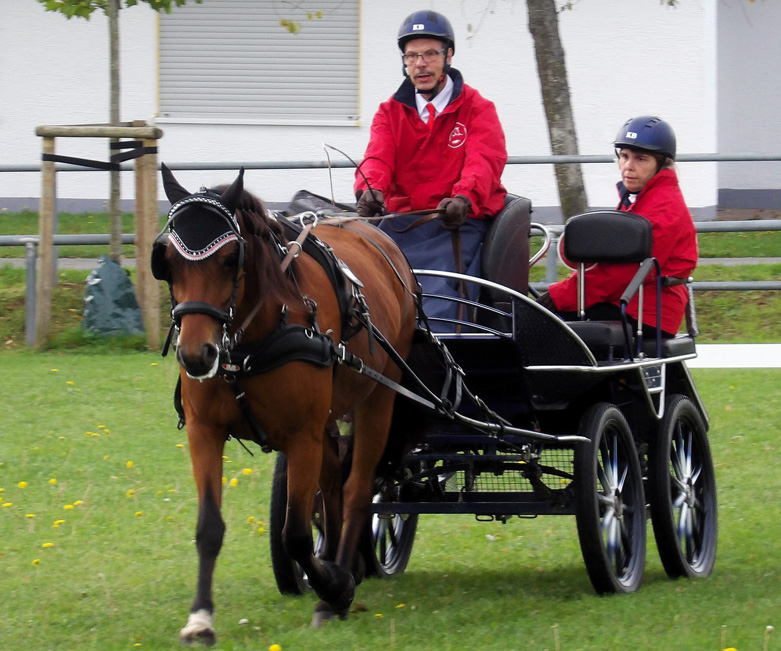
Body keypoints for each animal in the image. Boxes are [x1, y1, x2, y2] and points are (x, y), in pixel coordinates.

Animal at [151, 165, 419, 644]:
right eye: (167, 261)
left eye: (229, 259)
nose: (196, 354)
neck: (250, 338)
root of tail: (379, 235)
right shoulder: (205, 431)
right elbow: (209, 527)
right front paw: (200, 617)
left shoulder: (301, 436)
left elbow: (294, 532)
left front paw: (335, 590)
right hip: (329, 417)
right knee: (332, 486)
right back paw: (339, 564)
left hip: (378, 399)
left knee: (356, 490)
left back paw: (336, 583)